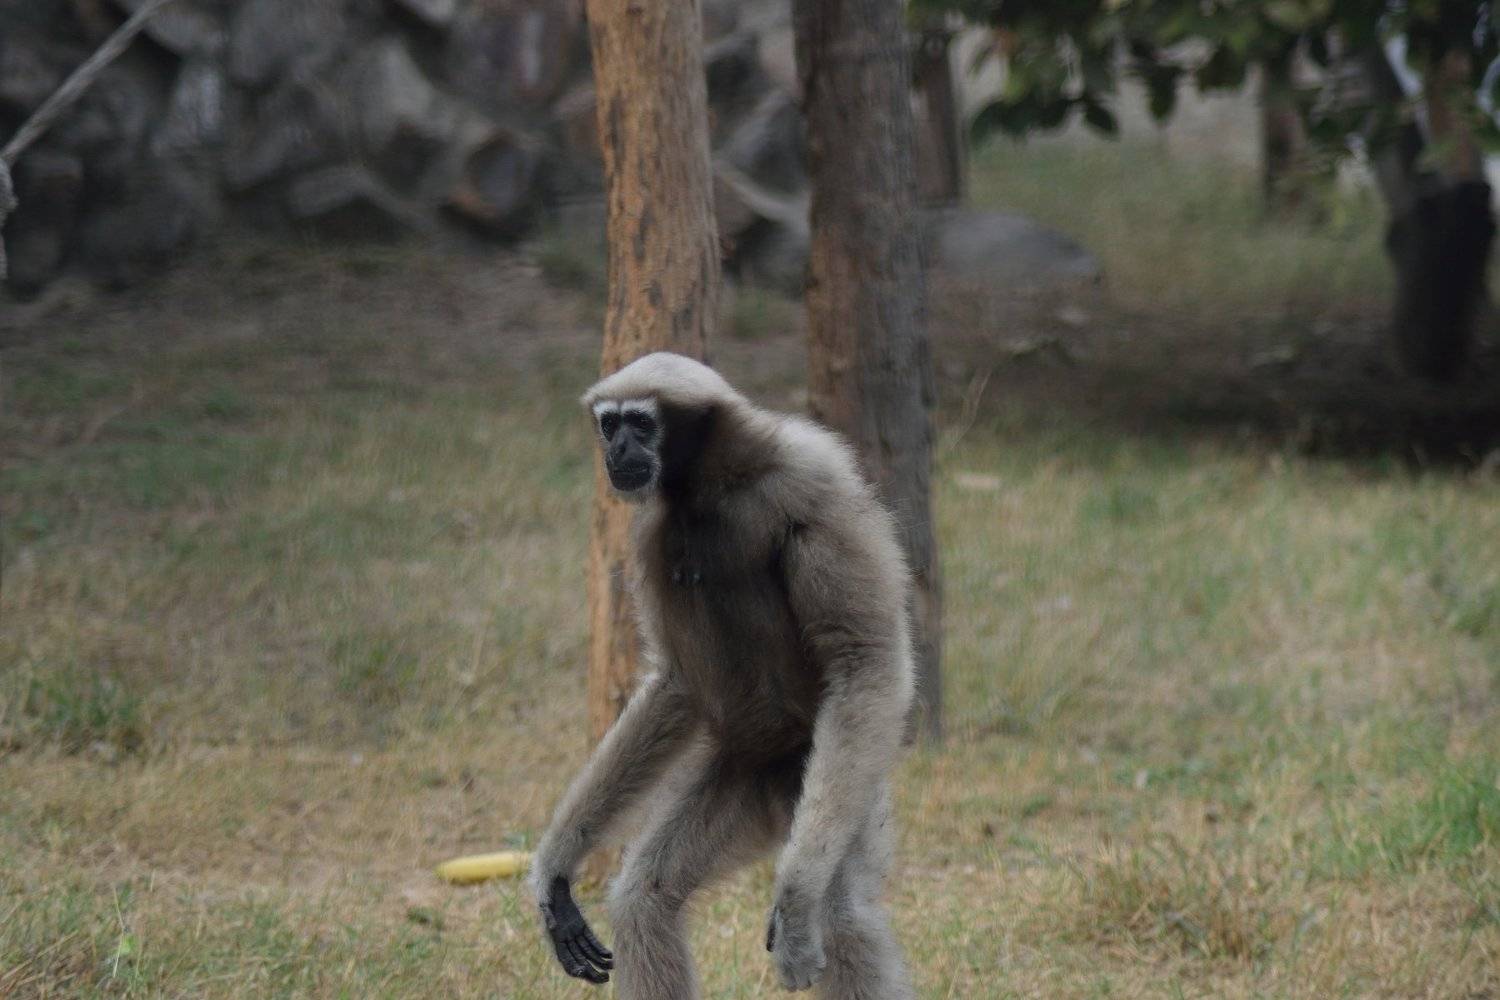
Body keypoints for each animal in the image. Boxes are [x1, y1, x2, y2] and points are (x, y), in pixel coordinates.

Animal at [525, 352, 916, 999]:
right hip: (744, 778)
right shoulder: (651, 532)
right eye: (610, 425)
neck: (710, 485)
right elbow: (676, 683)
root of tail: (783, 781)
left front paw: (795, 901)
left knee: (842, 914)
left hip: (846, 772)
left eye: (641, 422)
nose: (616, 449)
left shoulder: (817, 481)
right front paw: (556, 867)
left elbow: (865, 658)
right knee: (645, 898)